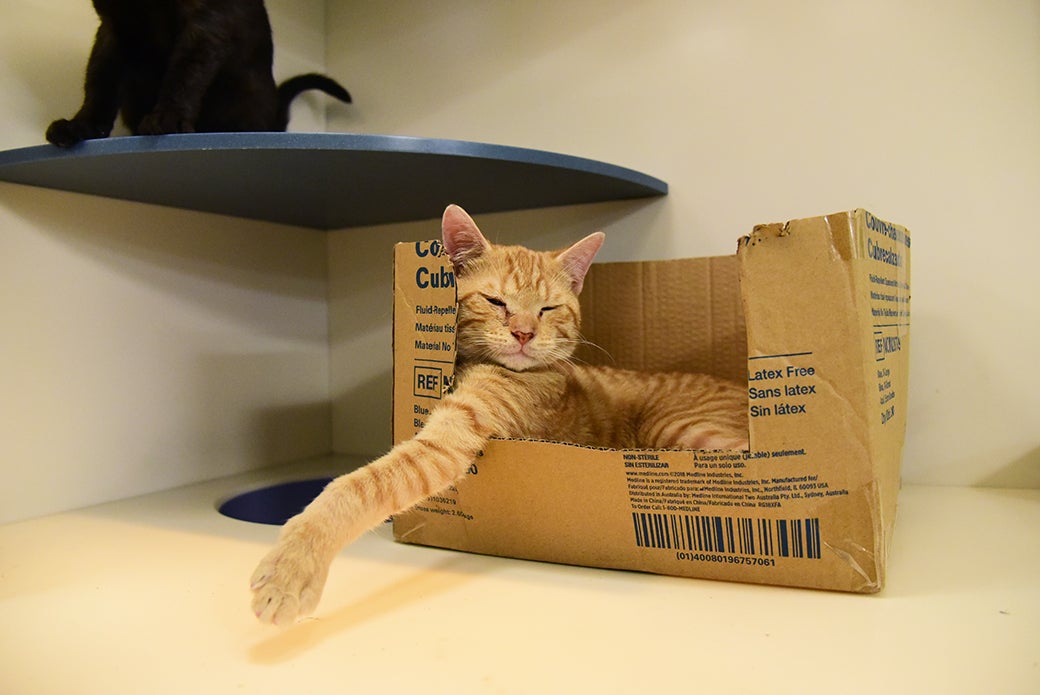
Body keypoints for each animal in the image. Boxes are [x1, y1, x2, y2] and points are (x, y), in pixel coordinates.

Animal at [46, 0, 351, 148]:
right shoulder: (113, 24)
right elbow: (98, 82)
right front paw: (80, 127)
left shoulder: (205, 21)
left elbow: (185, 75)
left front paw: (168, 118)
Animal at [250, 204, 748, 625]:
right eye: (495, 302)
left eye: (548, 308)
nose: (524, 333)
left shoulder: (449, 439)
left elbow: (352, 487)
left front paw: (289, 568)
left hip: (682, 430)